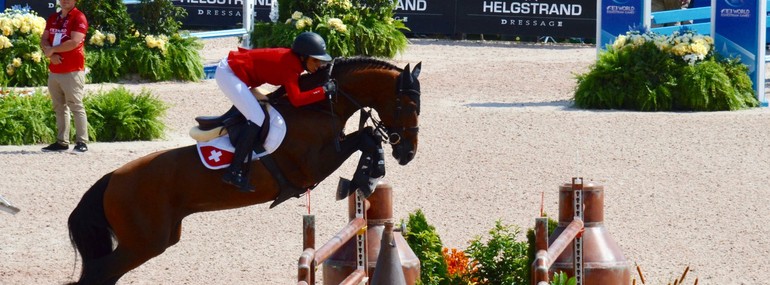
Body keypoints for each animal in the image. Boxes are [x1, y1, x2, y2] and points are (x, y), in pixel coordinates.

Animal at [67, 56, 424, 282]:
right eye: (407, 105)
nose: (408, 153)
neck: (319, 107)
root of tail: (110, 180)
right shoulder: (313, 165)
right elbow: (365, 138)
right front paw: (365, 177)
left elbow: (367, 138)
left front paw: (367, 177)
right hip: (143, 242)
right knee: (98, 274)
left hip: (155, 240)